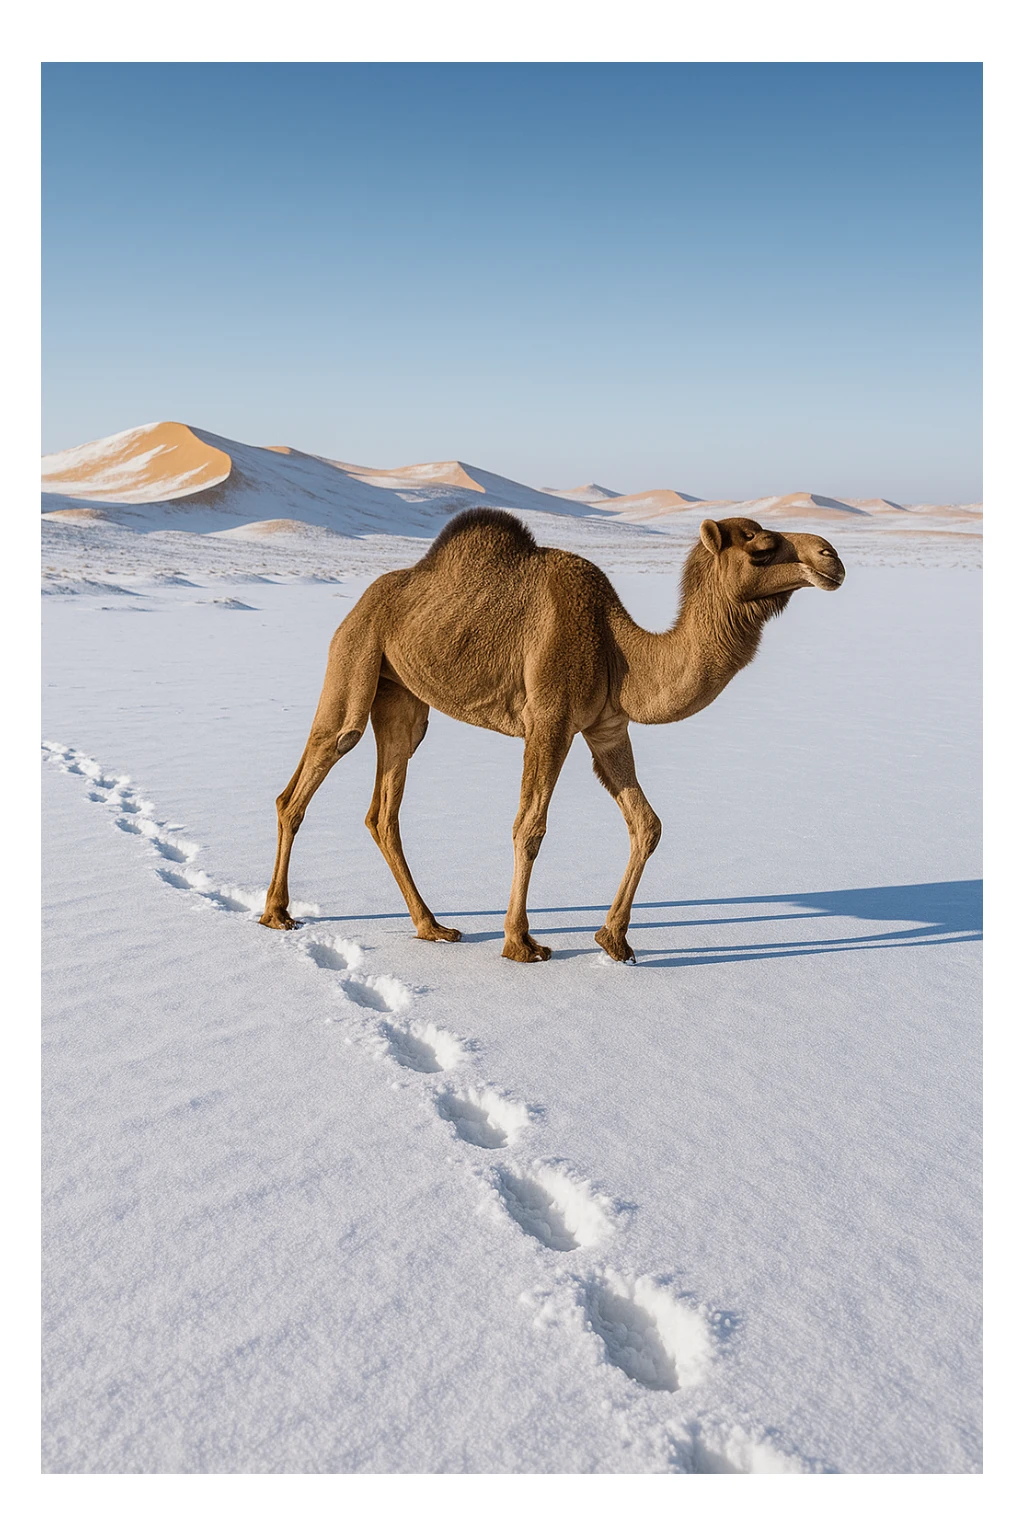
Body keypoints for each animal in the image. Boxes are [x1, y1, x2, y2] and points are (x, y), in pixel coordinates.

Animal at [260, 509, 845, 962]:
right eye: (762, 549)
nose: (832, 557)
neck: (619, 648)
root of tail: (362, 600)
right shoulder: (551, 720)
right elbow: (531, 827)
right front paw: (520, 943)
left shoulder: (607, 728)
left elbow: (647, 824)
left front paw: (614, 939)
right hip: (355, 654)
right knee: (318, 764)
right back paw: (277, 913)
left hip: (403, 698)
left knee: (384, 806)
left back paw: (432, 926)